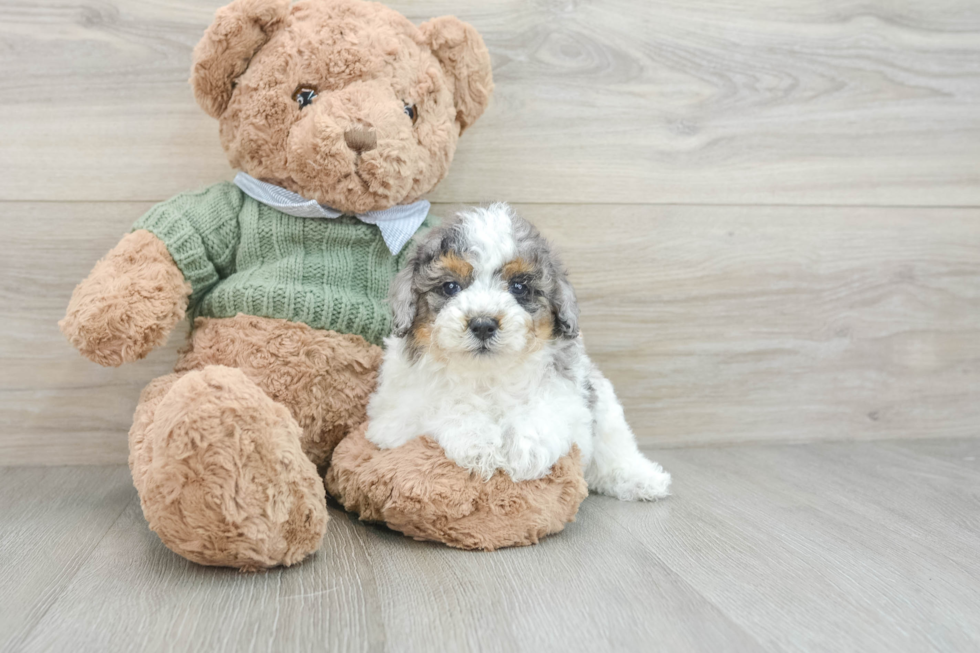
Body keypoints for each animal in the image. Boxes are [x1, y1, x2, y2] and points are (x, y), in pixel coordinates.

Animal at [368, 204, 672, 500]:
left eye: (519, 287)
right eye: (450, 287)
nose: (483, 324)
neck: (486, 375)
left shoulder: (568, 391)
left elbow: (545, 409)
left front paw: (525, 450)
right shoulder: (396, 414)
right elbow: (448, 407)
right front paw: (480, 443)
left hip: (604, 403)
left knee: (613, 447)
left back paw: (642, 479)